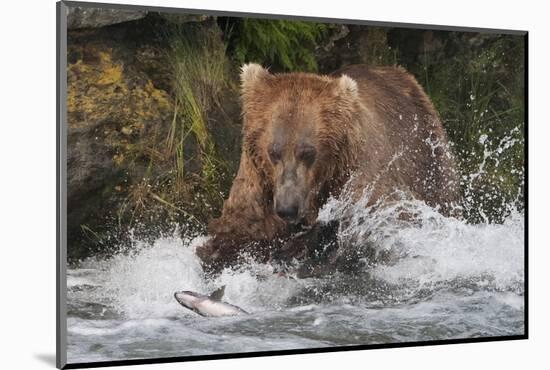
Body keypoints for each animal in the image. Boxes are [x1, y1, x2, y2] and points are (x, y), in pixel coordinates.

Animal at [196, 62, 464, 272]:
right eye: (273, 152)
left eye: (308, 153)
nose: (287, 208)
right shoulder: (257, 179)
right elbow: (240, 228)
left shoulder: (359, 174)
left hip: (428, 157)